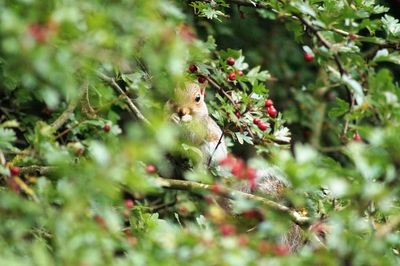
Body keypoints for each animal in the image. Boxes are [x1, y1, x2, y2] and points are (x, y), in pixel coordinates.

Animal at [167, 80, 310, 251]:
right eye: (173, 92)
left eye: (198, 98)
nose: (182, 111)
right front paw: (173, 118)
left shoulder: (202, 127)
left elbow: (195, 133)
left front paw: (185, 120)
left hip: (211, 154)